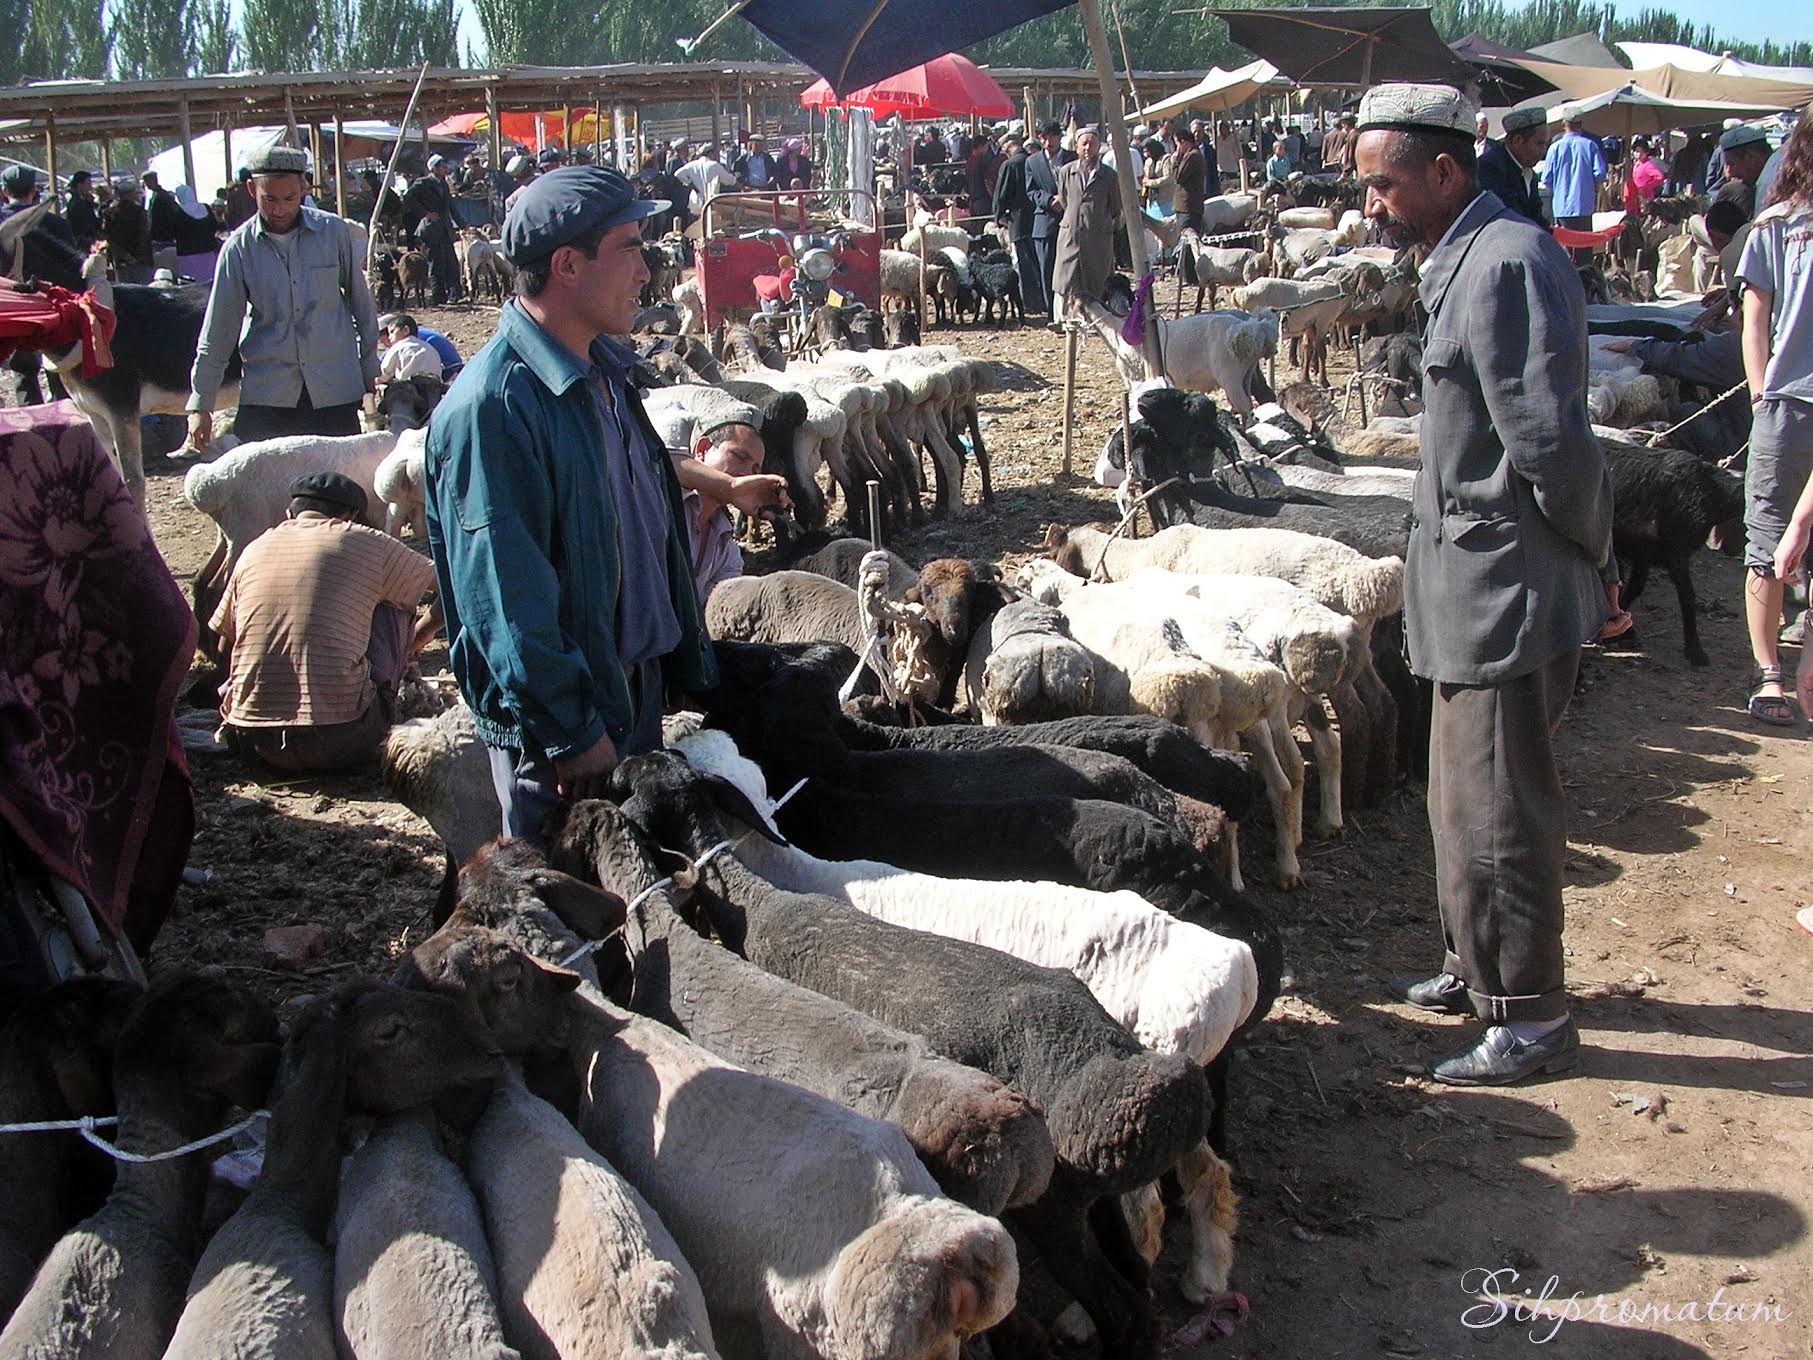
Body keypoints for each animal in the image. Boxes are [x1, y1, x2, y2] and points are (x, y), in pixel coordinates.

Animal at [572, 761, 1211, 1356]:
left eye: (622, 781)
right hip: (1084, 1192)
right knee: (1134, 1280)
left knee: (1117, 1310)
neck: (755, 903)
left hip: (1052, 1208)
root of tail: (1126, 1076)